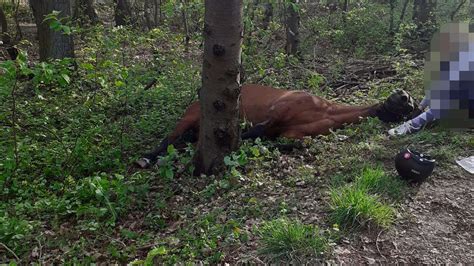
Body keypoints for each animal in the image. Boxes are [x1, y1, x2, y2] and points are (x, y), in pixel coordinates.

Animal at [135, 84, 416, 167]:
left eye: (408, 107)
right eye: (404, 101)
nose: (404, 97)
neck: (324, 110)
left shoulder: (292, 134)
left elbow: (296, 144)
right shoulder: (276, 113)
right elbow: (254, 132)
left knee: (181, 142)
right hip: (189, 118)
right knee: (169, 140)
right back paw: (146, 158)